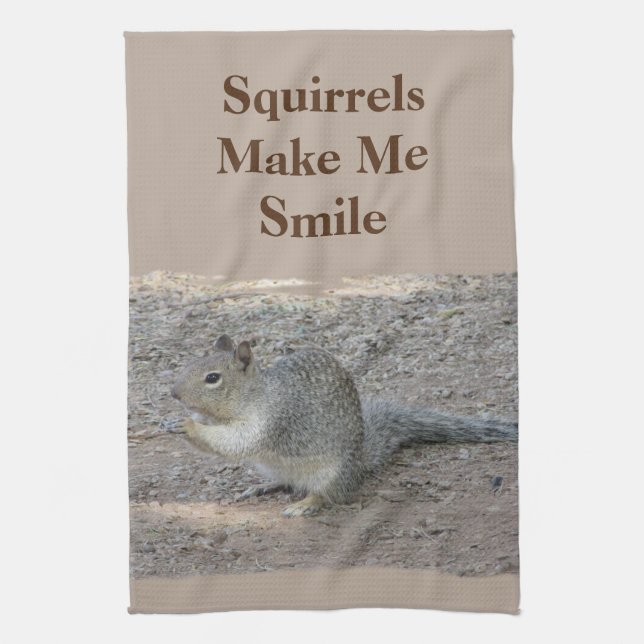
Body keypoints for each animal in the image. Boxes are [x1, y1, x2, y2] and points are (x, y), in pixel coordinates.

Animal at [169, 334, 517, 517]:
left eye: (212, 378)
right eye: (190, 365)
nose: (173, 394)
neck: (255, 394)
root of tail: (359, 465)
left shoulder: (271, 418)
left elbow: (238, 440)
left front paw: (188, 425)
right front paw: (177, 420)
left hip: (331, 473)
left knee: (327, 495)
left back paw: (304, 505)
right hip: (276, 467)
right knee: (286, 482)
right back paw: (263, 486)